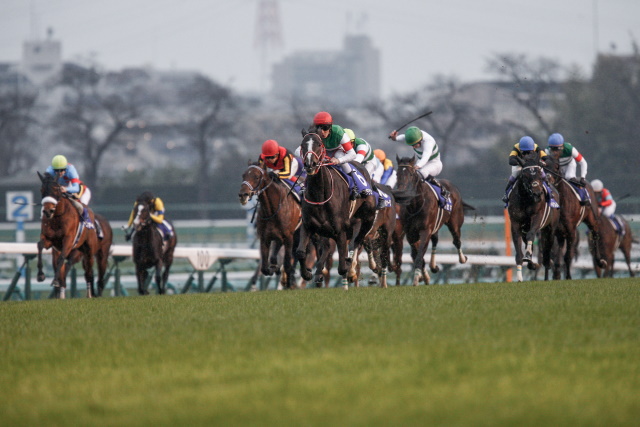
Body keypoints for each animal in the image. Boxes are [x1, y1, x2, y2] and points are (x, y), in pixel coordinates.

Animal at [36, 172, 100, 300]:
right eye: (42, 190)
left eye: (56, 189)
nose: (48, 211)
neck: (57, 217)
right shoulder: (49, 240)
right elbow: (40, 246)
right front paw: (40, 275)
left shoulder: (68, 240)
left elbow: (62, 258)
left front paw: (55, 281)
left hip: (89, 251)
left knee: (88, 272)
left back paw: (89, 293)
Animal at [238, 162, 302, 290]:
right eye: (243, 175)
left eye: (256, 177)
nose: (243, 195)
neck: (272, 210)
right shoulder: (264, 238)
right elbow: (264, 268)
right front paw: (274, 268)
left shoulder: (289, 238)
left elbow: (287, 263)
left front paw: (288, 281)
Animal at [296, 132, 378, 290]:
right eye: (302, 145)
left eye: (318, 144)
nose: (310, 164)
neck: (320, 194)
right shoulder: (308, 226)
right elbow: (301, 252)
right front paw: (307, 273)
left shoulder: (340, 230)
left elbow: (342, 266)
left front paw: (349, 271)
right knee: (330, 248)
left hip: (367, 220)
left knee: (357, 242)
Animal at [390, 155, 470, 286]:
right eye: (397, 174)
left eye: (411, 174)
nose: (401, 193)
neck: (416, 205)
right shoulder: (410, 234)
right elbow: (417, 255)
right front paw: (423, 276)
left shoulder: (425, 231)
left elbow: (419, 255)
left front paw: (416, 279)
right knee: (435, 241)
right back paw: (433, 266)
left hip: (454, 222)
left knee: (457, 241)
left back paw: (463, 259)